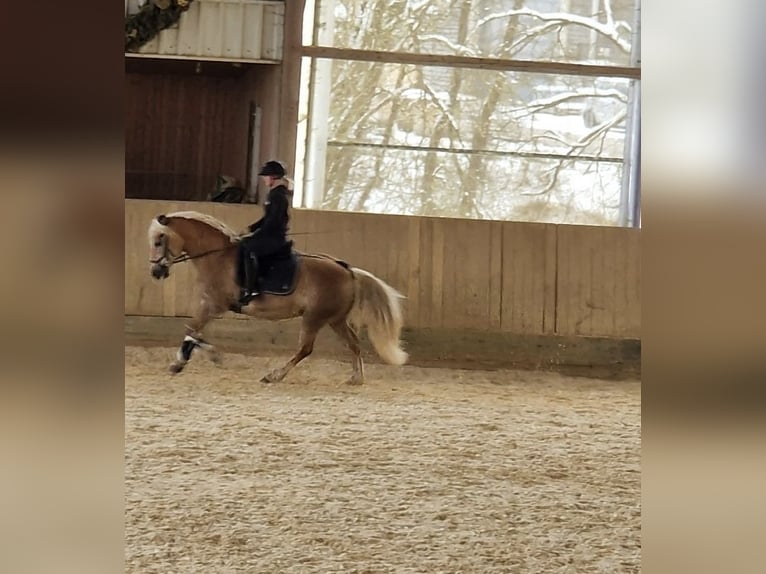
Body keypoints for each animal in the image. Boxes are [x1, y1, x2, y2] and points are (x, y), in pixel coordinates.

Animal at [146, 209, 408, 384]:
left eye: (159, 240)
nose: (156, 272)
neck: (218, 256)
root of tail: (348, 271)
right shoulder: (209, 303)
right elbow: (194, 331)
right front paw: (208, 356)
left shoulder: (214, 304)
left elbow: (191, 330)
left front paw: (180, 363)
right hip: (335, 319)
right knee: (353, 344)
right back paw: (356, 378)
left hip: (314, 318)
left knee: (305, 349)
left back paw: (274, 375)